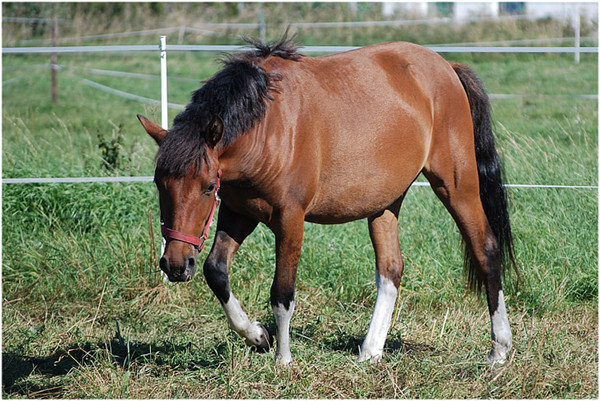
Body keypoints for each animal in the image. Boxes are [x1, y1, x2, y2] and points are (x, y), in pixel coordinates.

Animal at [137, 35, 516, 366]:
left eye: (206, 187)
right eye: (159, 183)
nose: (175, 264)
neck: (268, 125)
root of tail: (446, 66)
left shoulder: (289, 218)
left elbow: (282, 292)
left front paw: (283, 360)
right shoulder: (238, 212)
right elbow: (216, 271)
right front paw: (257, 336)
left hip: (456, 186)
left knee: (485, 249)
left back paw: (499, 349)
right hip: (385, 201)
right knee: (390, 269)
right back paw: (371, 352)